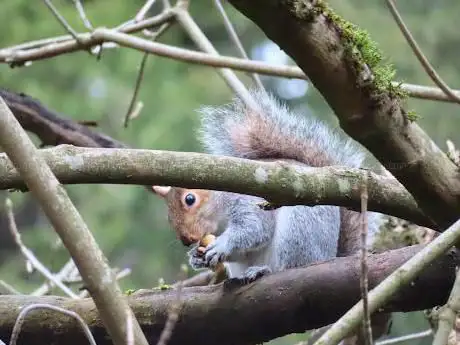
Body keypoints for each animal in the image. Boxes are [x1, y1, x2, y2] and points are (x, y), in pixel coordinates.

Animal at [154, 88, 384, 282]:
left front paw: (221, 245)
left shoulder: (249, 201)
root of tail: (329, 256)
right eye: (167, 216)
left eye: (190, 199)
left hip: (298, 230)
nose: (186, 239)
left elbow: (255, 229)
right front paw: (195, 257)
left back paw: (264, 270)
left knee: (289, 265)